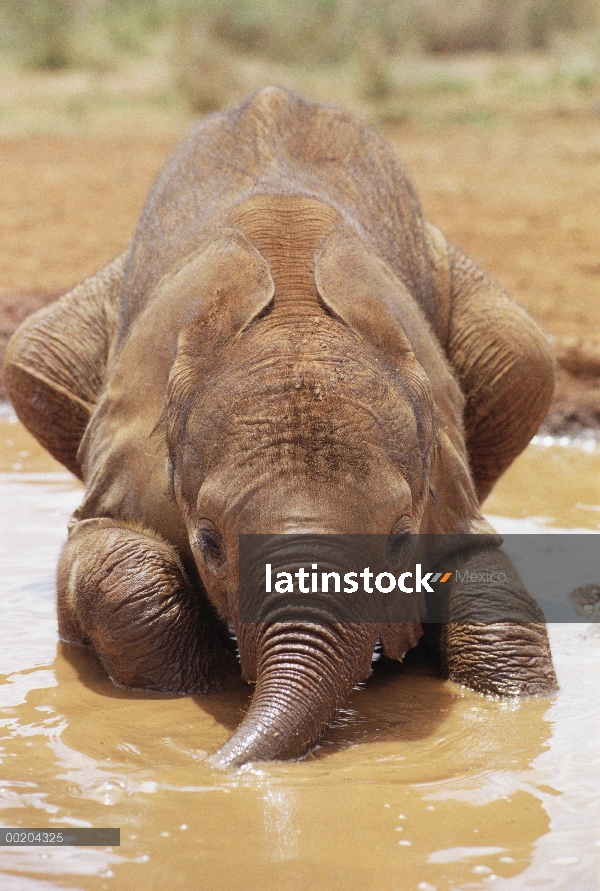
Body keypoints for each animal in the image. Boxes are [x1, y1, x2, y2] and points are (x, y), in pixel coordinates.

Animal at [4, 87, 556, 768]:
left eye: (401, 539)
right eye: (208, 542)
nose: (212, 766)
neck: (294, 309)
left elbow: (487, 584)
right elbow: (113, 558)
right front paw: (201, 685)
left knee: (524, 354)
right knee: (31, 350)